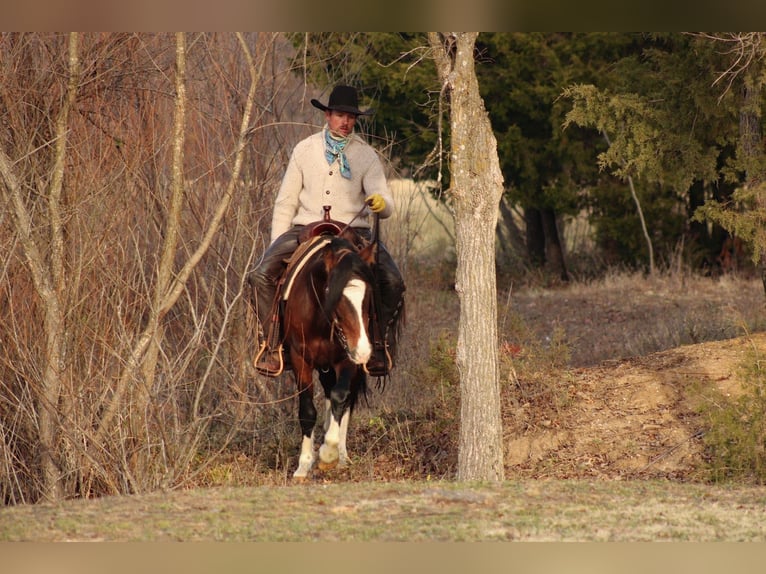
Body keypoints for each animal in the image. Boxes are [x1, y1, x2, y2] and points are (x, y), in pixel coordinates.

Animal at [277, 225, 378, 479]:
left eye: (368, 295)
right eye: (335, 294)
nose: (363, 351)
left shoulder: (346, 359)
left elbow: (340, 398)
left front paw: (328, 454)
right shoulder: (300, 359)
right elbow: (307, 410)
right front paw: (303, 465)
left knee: (342, 402)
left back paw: (340, 456)